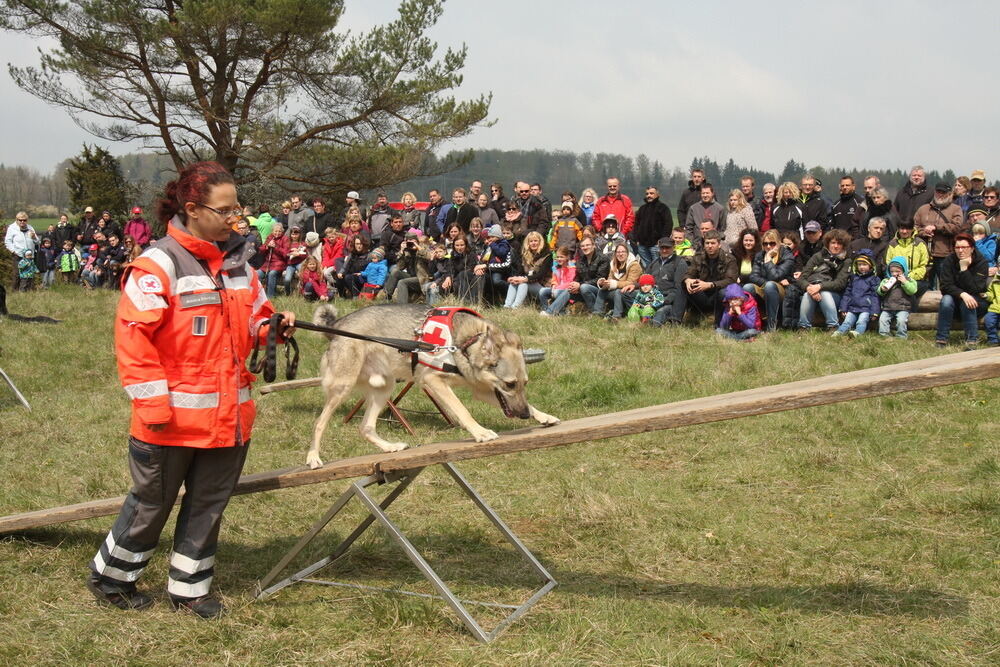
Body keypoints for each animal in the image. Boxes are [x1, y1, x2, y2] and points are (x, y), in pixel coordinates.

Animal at [304, 304, 560, 470]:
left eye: (524, 383)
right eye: (509, 384)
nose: (524, 416)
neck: (464, 342)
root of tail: (339, 324)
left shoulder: (480, 388)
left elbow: (529, 404)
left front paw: (544, 416)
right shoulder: (434, 381)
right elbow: (462, 410)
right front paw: (480, 432)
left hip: (384, 389)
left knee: (365, 427)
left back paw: (389, 448)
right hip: (343, 387)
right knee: (318, 423)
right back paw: (313, 457)